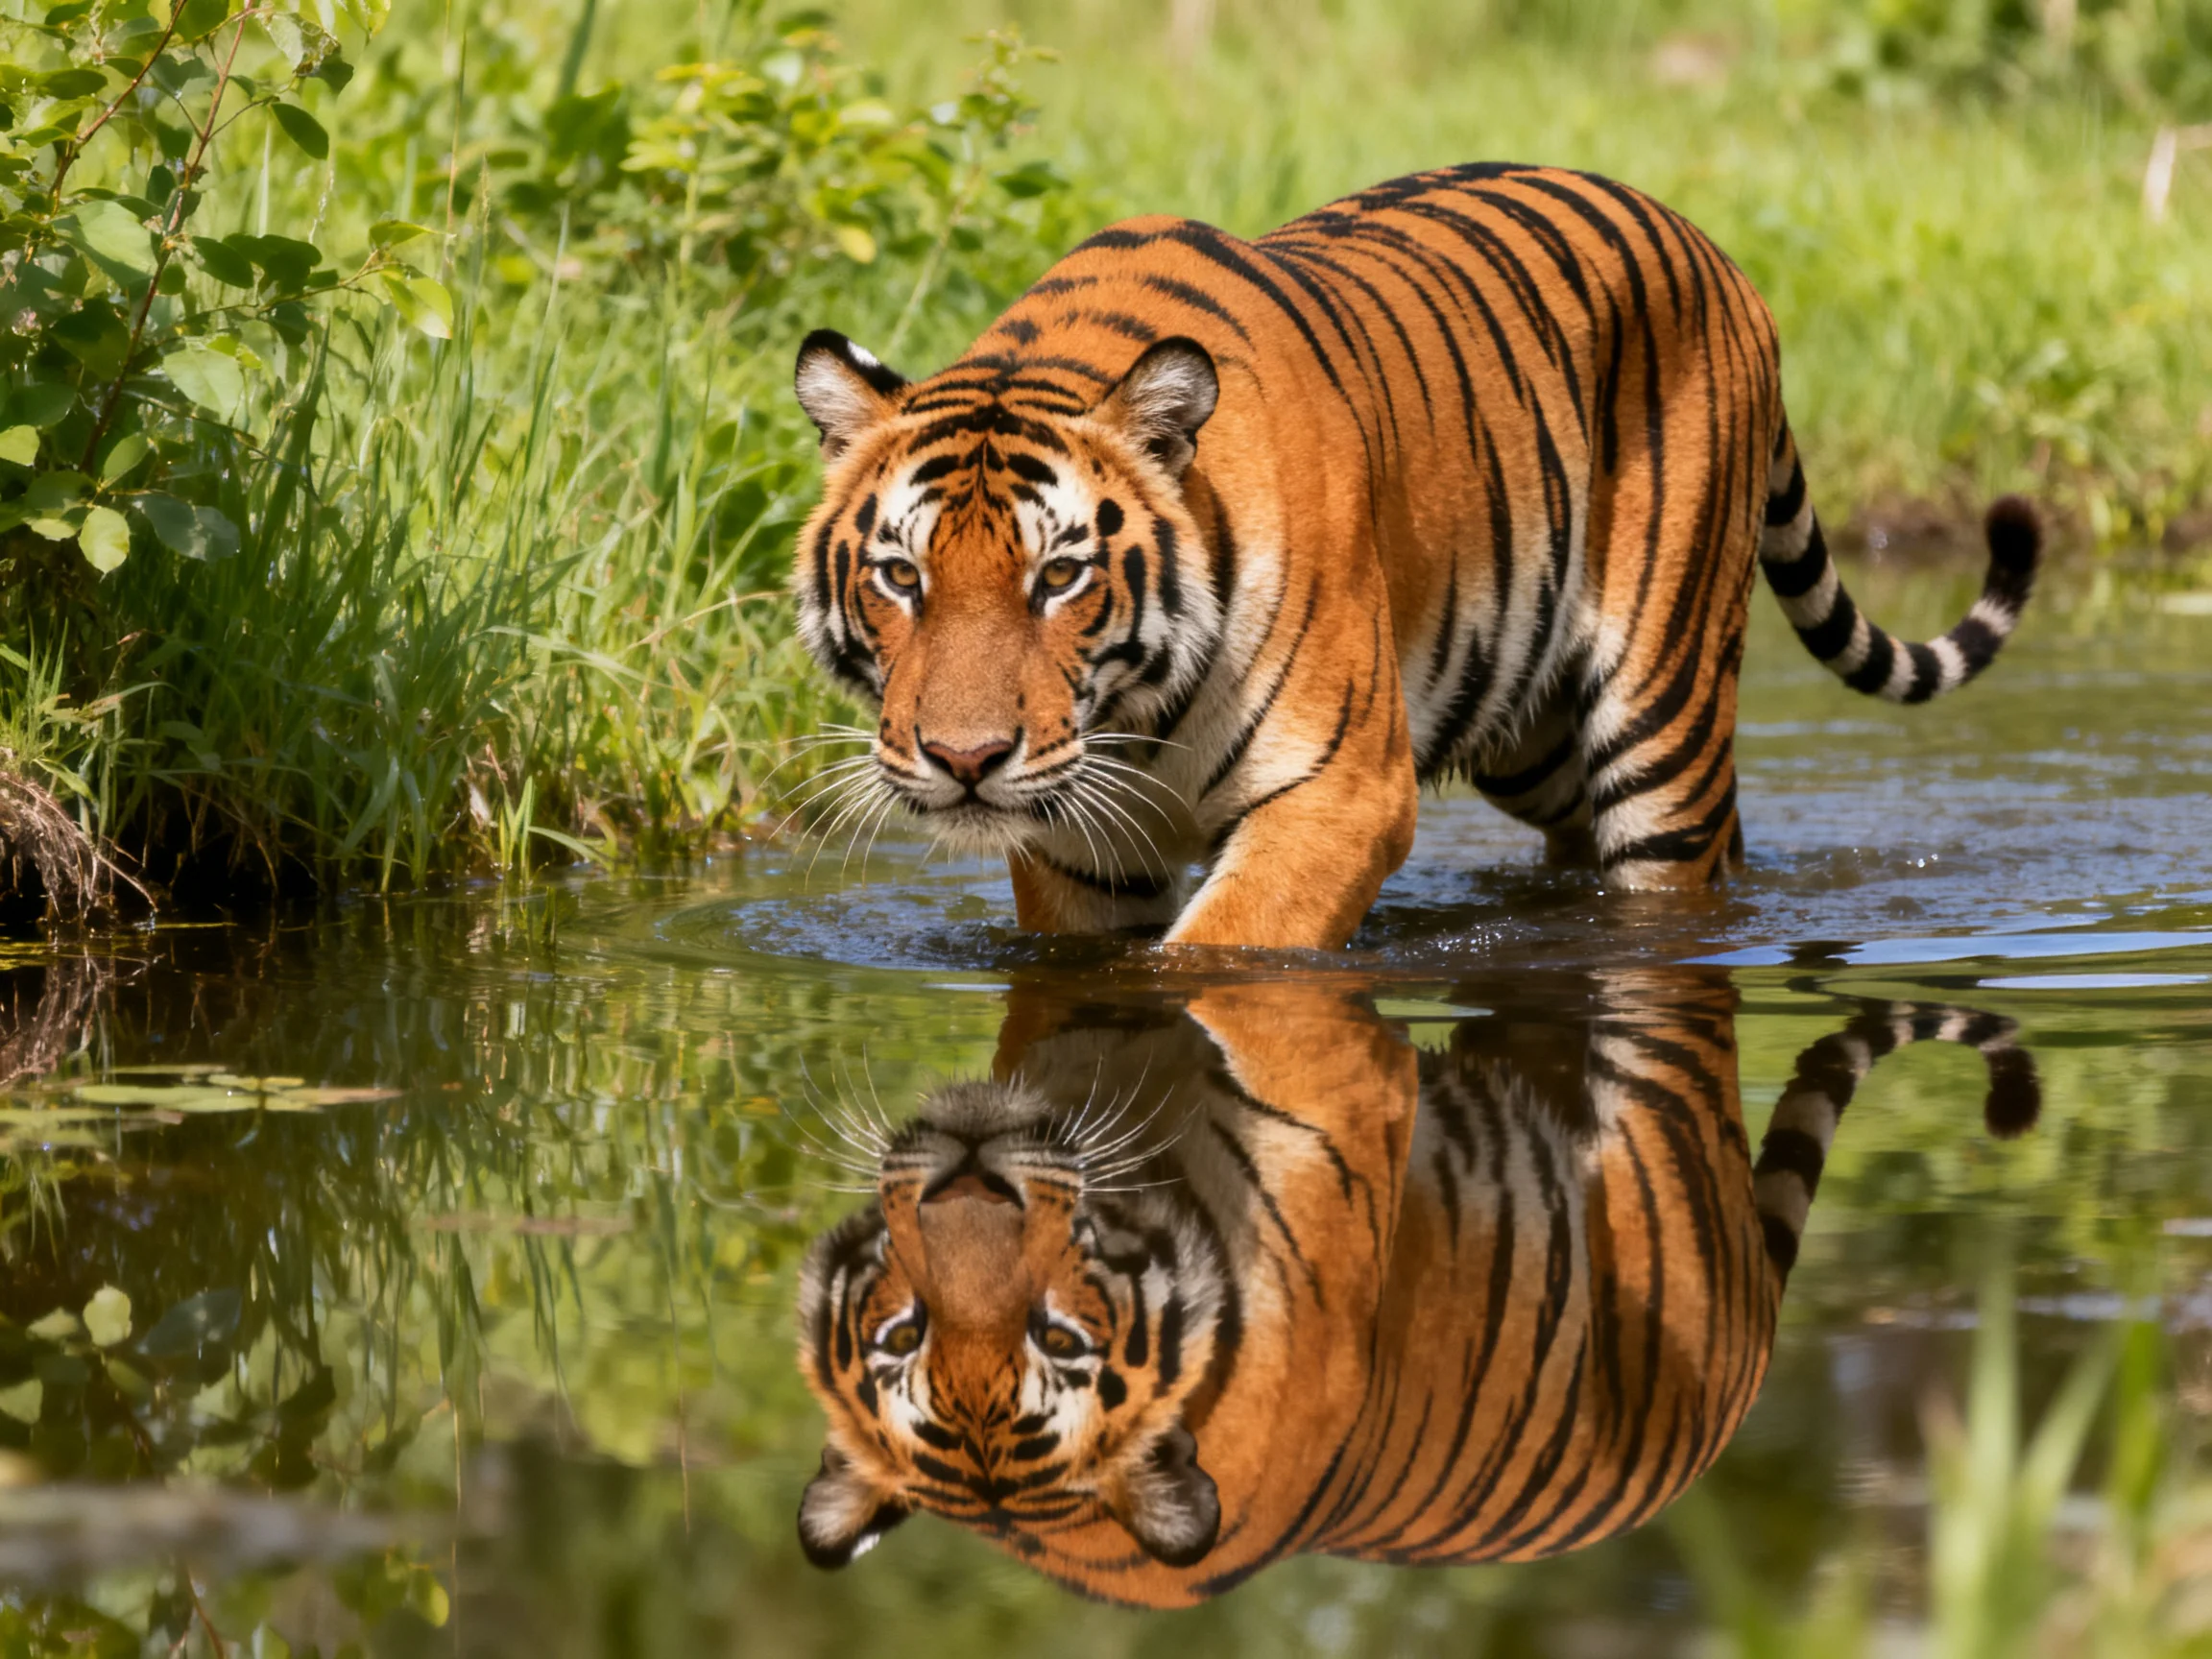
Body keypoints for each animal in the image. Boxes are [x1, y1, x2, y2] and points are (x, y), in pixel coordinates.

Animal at [790, 163, 2041, 951]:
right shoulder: (1082, 850)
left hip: (1662, 715)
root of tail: (1717, 253)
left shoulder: (1339, 792)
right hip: (1532, 728)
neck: (1131, 713)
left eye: (1059, 577)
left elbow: (1216, 955)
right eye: (902, 577)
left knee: (1681, 861)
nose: (964, 761)